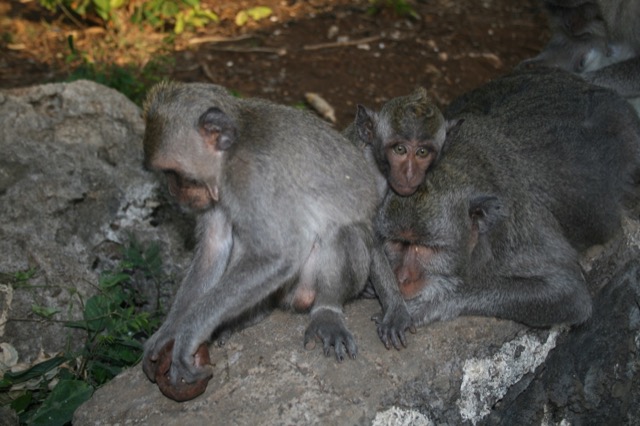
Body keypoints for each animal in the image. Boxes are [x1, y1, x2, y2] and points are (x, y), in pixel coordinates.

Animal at [141, 81, 413, 401]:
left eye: (175, 174)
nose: (173, 192)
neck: (231, 152)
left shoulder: (254, 177)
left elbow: (280, 255)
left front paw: (187, 333)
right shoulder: (217, 189)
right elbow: (213, 247)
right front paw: (167, 333)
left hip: (308, 284)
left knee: (342, 229)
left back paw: (328, 312)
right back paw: (247, 317)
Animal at [377, 68, 640, 328]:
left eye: (426, 248)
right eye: (398, 243)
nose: (402, 278)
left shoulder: (515, 233)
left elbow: (569, 294)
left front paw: (432, 303)